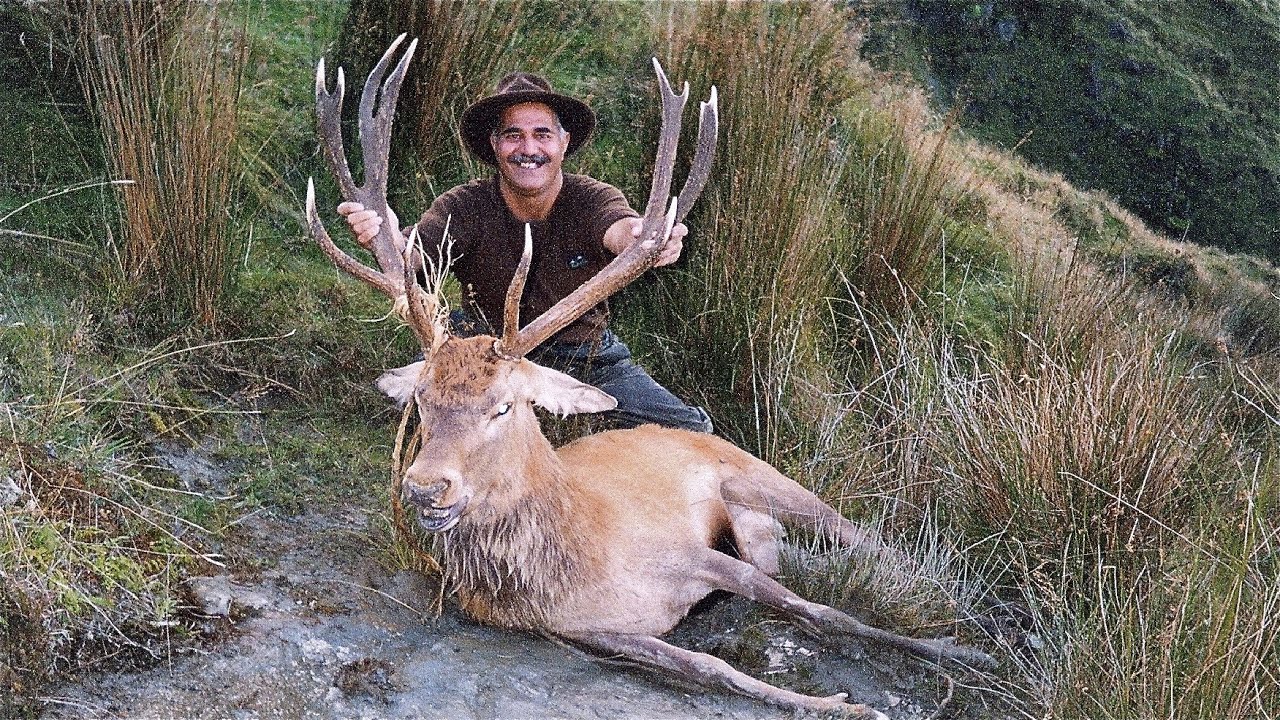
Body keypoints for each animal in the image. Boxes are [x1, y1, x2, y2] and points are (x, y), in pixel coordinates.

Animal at [304, 35, 996, 718]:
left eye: (504, 405)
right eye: (421, 400)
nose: (425, 488)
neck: (580, 561)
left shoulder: (689, 548)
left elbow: (816, 610)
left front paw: (946, 657)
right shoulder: (591, 632)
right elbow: (713, 668)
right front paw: (833, 702)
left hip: (755, 469)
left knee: (857, 536)